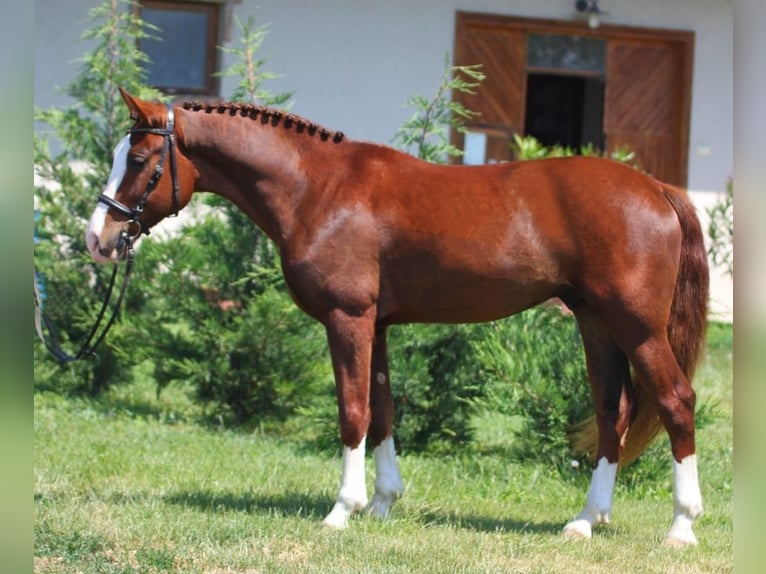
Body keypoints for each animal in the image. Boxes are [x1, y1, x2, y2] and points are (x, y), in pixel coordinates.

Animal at [88, 88, 708, 548]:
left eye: (138, 161)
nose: (98, 238)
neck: (319, 188)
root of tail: (658, 188)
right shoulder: (379, 324)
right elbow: (383, 409)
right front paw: (383, 503)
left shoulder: (349, 318)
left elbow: (353, 410)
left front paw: (343, 509)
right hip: (597, 324)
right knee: (613, 412)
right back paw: (584, 521)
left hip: (638, 328)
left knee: (676, 402)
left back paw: (681, 527)